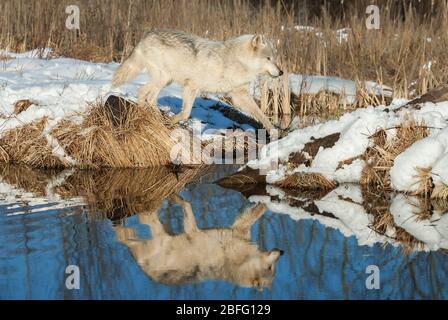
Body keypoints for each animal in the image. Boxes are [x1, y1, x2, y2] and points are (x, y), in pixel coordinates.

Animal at [110, 29, 282, 130]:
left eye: (274, 58)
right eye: (268, 58)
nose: (281, 72)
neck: (237, 61)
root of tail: (145, 36)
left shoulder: (240, 95)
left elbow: (261, 115)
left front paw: (273, 131)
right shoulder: (191, 86)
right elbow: (185, 113)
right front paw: (173, 121)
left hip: (165, 80)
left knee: (147, 95)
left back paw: (152, 114)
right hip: (163, 79)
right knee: (143, 92)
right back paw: (151, 115)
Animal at [115, 195, 284, 290]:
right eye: (270, 268)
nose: (282, 252)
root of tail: (144, 270)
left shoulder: (237, 229)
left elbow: (259, 211)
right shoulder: (194, 231)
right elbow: (187, 204)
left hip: (160, 233)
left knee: (132, 229)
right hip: (159, 234)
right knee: (139, 221)